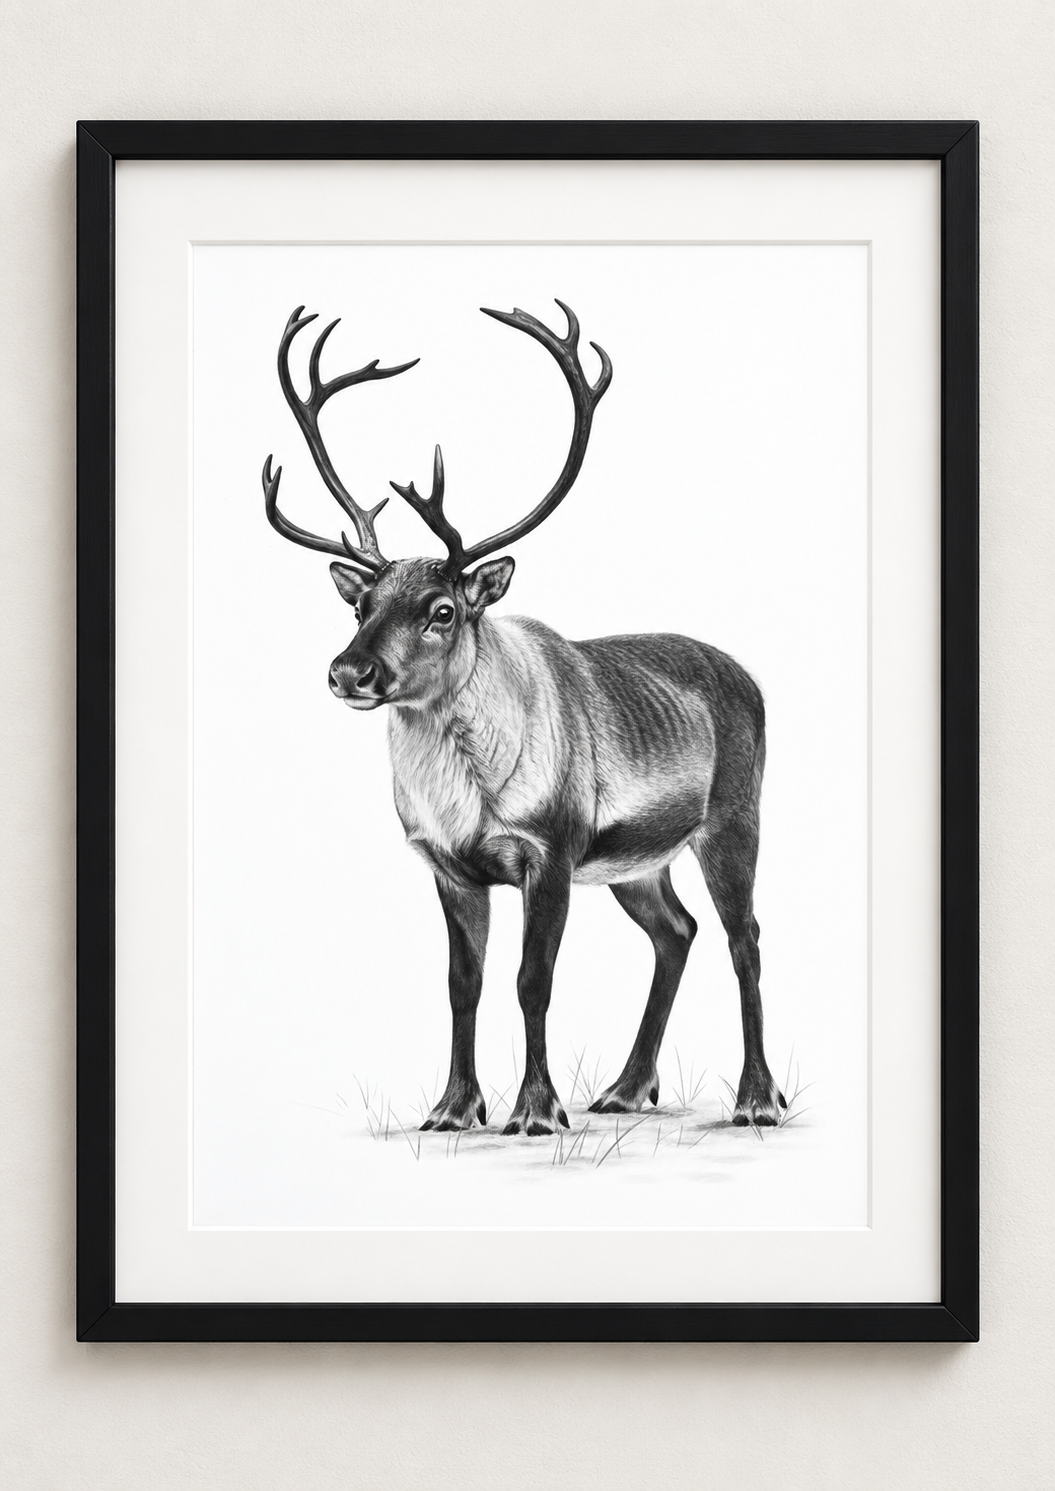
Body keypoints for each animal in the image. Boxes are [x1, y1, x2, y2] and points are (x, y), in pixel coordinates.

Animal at [261, 299, 785, 1136]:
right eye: (359, 604)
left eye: (442, 609)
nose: (348, 671)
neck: (466, 799)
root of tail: (748, 678)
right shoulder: (447, 866)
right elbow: (462, 984)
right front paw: (452, 1108)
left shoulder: (552, 851)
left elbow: (531, 978)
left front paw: (536, 1110)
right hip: (638, 861)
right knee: (677, 932)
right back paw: (624, 1088)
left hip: (732, 819)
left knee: (745, 938)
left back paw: (756, 1098)